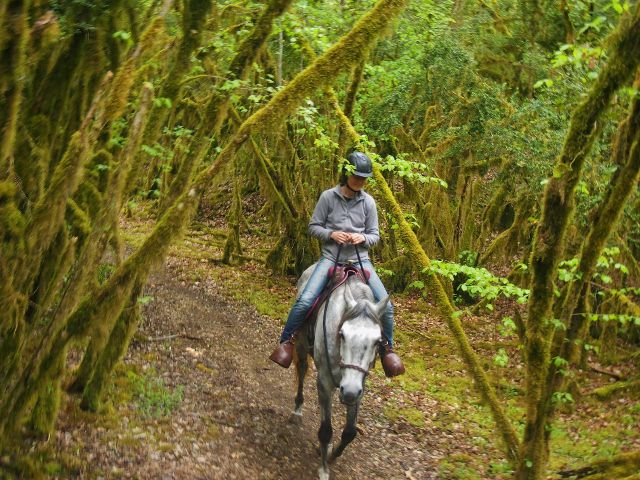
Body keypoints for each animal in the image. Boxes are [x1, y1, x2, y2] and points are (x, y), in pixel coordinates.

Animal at [291, 262, 389, 480]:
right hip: (301, 342)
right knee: (301, 370)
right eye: (342, 334)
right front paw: (324, 468)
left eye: (378, 341)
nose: (349, 391)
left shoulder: (359, 387)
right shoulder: (324, 382)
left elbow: (350, 432)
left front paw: (332, 453)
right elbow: (326, 430)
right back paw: (297, 409)